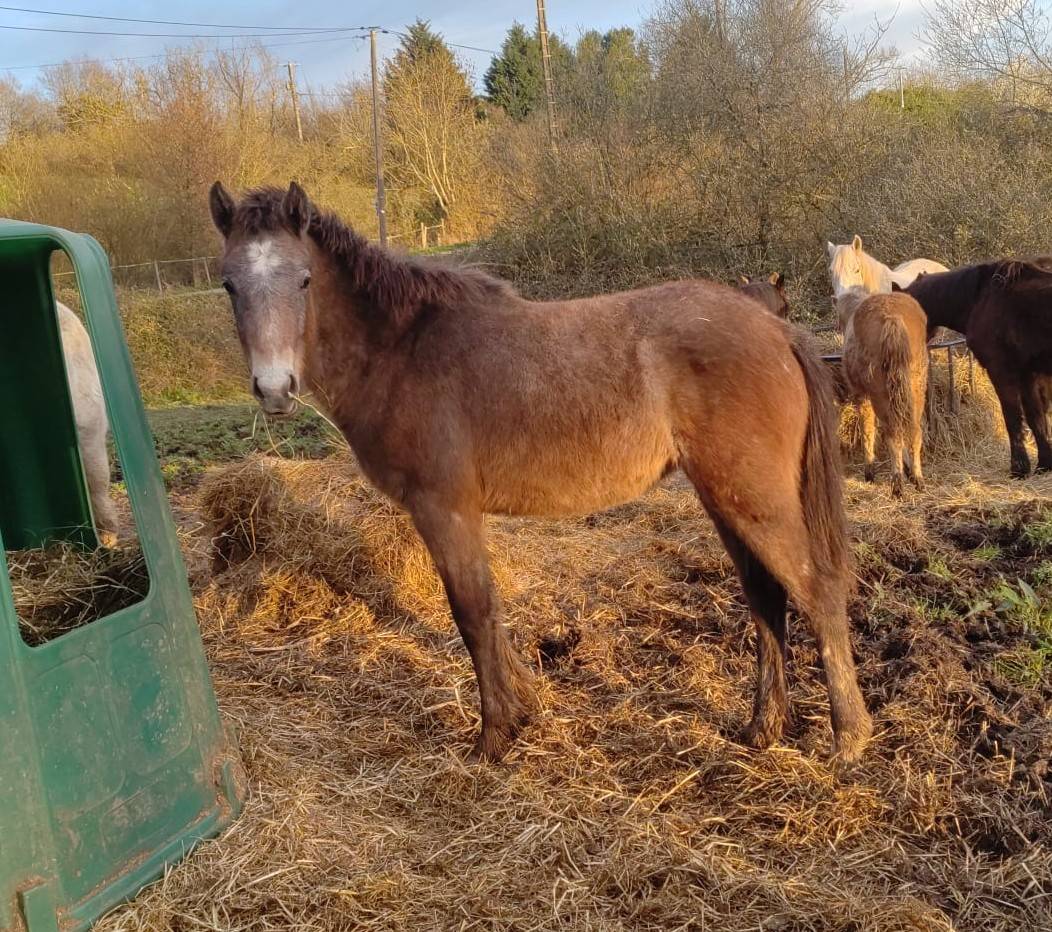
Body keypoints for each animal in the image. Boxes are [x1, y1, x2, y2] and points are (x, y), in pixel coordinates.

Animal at [209, 181, 872, 765]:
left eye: (303, 278)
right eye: (229, 284)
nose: (274, 389)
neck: (402, 350)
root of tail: (778, 331)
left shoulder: (443, 508)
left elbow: (472, 614)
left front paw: (494, 736)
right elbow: (490, 611)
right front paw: (522, 710)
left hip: (754, 498)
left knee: (816, 589)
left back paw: (848, 736)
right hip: (723, 497)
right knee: (765, 597)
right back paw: (763, 728)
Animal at [836, 287, 929, 496]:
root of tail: (892, 318)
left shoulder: (862, 395)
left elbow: (867, 429)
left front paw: (869, 472)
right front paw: (909, 470)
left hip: (880, 393)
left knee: (892, 434)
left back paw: (897, 485)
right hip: (915, 389)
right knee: (913, 431)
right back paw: (918, 479)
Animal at [905, 260, 1052, 478]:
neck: (980, 300)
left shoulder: (1001, 372)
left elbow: (1012, 418)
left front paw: (1018, 468)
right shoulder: (1027, 374)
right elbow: (1036, 418)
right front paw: (1044, 465)